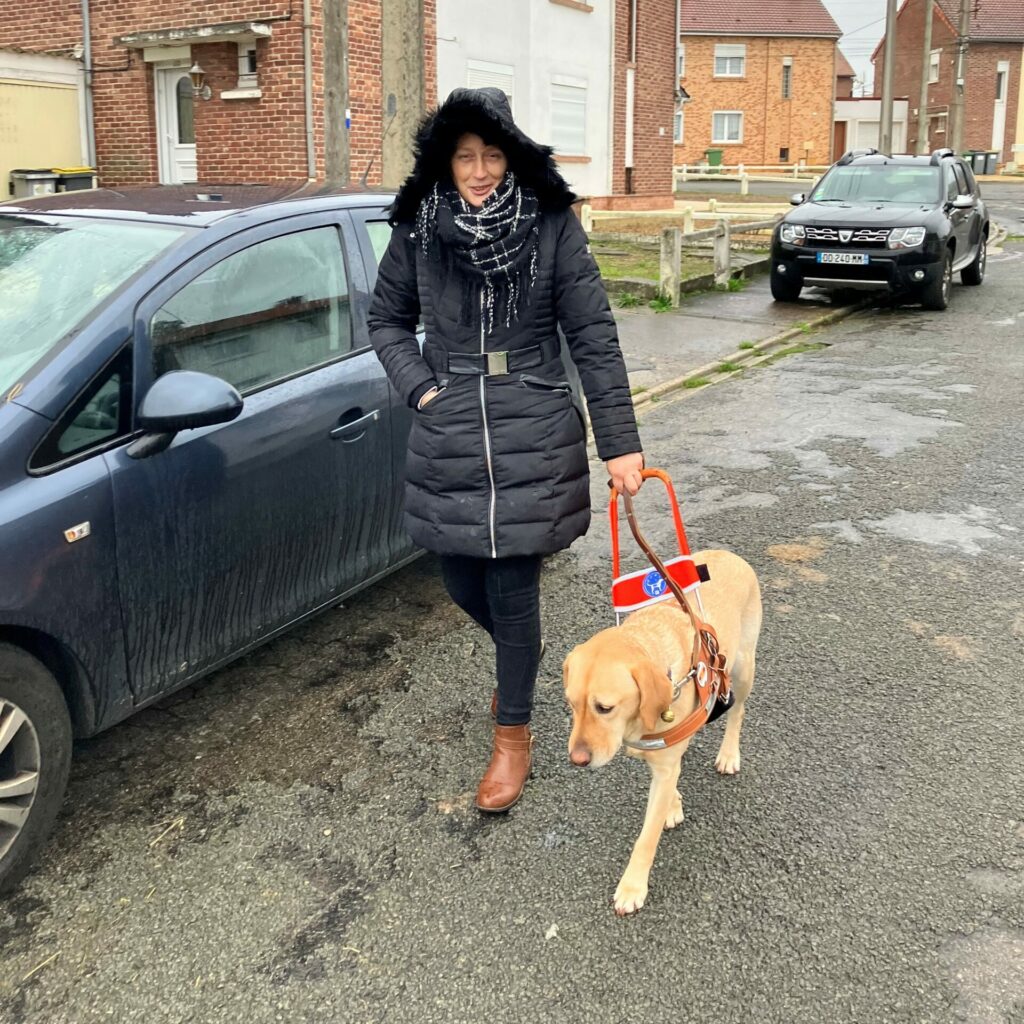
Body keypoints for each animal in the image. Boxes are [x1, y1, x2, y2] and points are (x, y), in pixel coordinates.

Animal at [561, 548, 761, 917]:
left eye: (604, 707)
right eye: (571, 703)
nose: (577, 760)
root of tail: (729, 553)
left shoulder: (664, 767)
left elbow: (647, 837)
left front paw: (632, 887)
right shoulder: (660, 758)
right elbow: (669, 780)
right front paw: (673, 804)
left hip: (743, 668)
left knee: (737, 711)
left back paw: (729, 753)